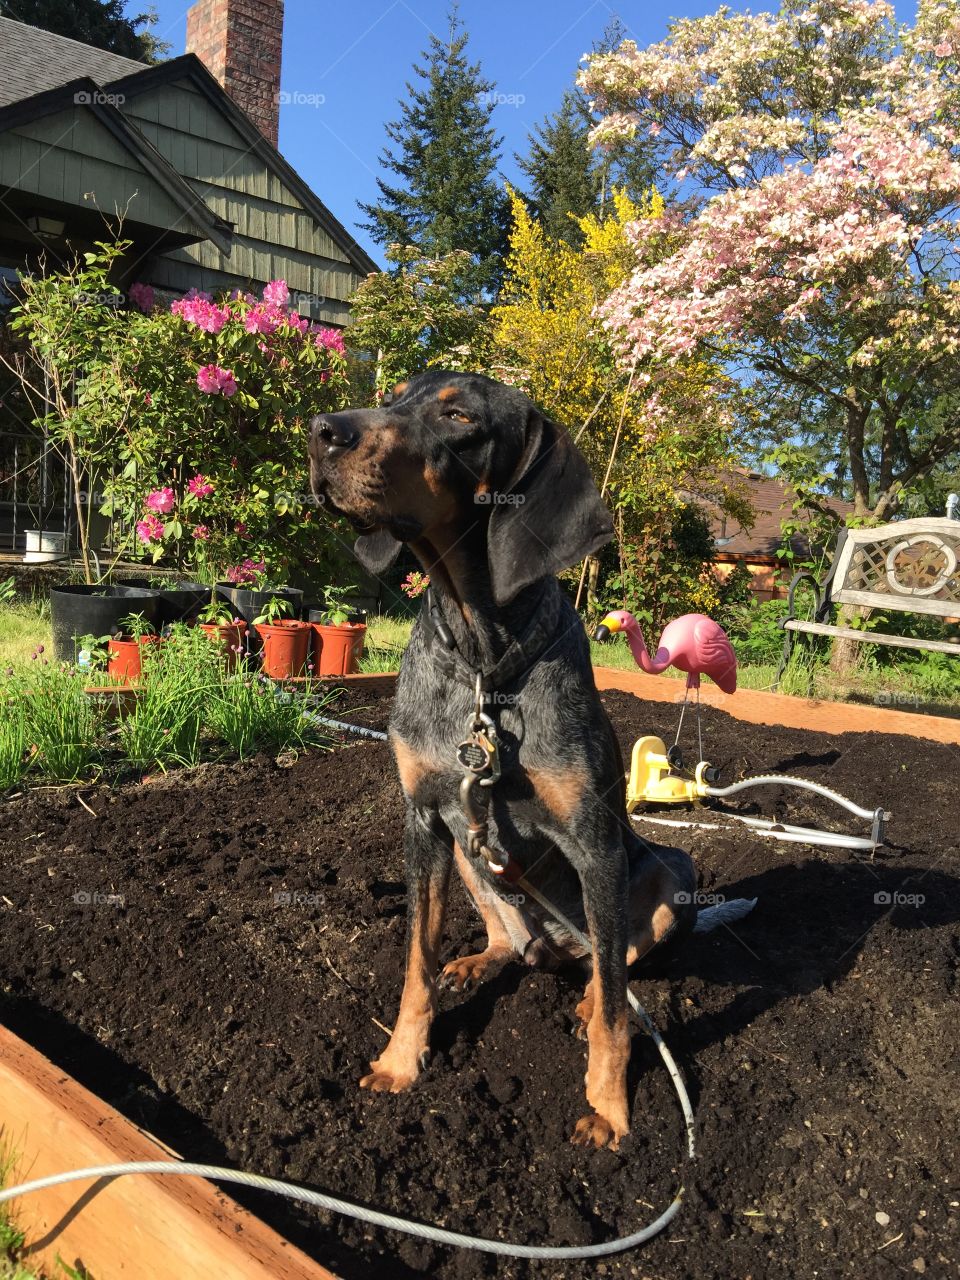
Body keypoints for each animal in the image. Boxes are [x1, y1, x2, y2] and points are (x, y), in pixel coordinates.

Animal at [312, 371, 696, 1152]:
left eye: (460, 416)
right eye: (396, 396)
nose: (321, 431)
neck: (484, 661)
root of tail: (553, 948)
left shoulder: (596, 845)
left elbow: (617, 1009)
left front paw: (609, 1109)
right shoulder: (425, 820)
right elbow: (416, 963)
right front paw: (401, 1061)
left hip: (668, 879)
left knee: (611, 963)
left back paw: (582, 996)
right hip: (470, 851)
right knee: (511, 940)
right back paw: (484, 958)